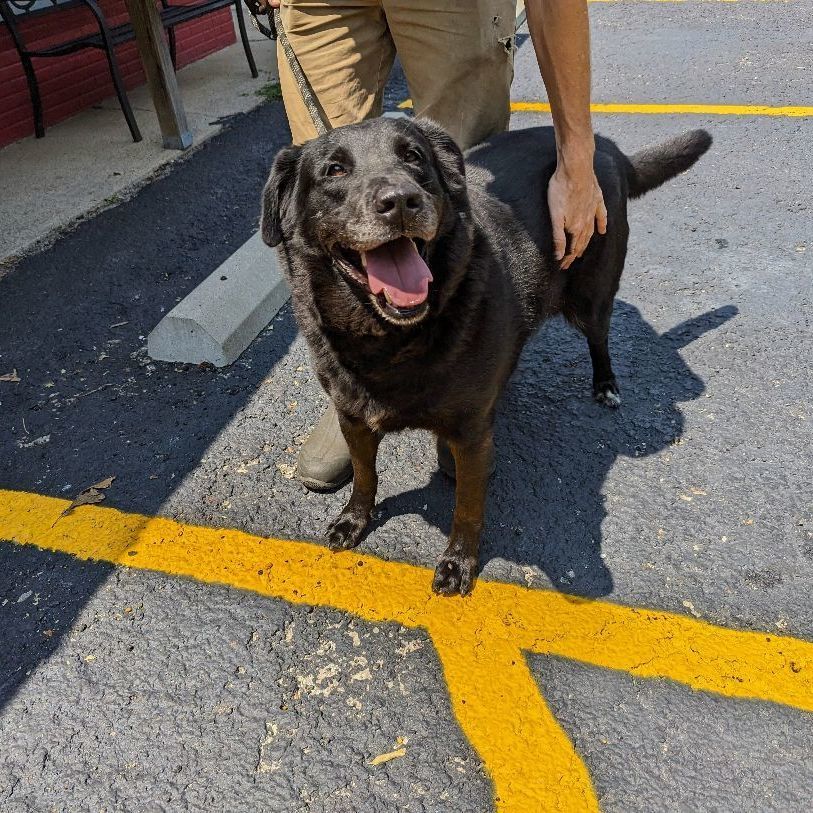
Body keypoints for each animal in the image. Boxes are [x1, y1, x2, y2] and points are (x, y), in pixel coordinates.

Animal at [262, 117, 712, 592]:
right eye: (334, 170)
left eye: (413, 156)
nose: (401, 201)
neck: (392, 339)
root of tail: (607, 148)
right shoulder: (354, 419)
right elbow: (365, 476)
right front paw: (354, 519)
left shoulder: (471, 437)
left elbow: (467, 506)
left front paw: (459, 562)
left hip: (592, 293)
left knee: (600, 338)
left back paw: (605, 384)